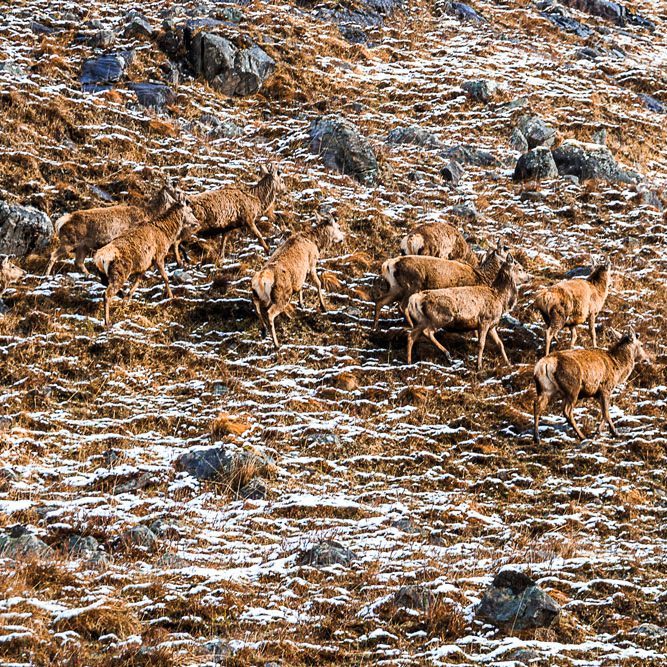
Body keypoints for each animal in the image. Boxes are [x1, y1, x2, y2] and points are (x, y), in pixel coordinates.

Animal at [45, 185, 181, 276]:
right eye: (177, 191)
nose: (182, 203)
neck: (149, 214)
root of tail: (60, 222)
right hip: (69, 242)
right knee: (53, 255)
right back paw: (46, 275)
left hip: (83, 246)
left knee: (78, 262)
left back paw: (89, 275)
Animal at [93, 196, 199, 326]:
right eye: (190, 211)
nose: (197, 222)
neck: (167, 233)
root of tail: (99, 258)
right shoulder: (159, 255)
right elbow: (165, 277)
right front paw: (171, 296)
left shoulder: (144, 265)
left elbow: (138, 281)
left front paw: (126, 299)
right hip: (119, 272)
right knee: (107, 294)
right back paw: (107, 321)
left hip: (104, 273)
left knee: (105, 284)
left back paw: (121, 296)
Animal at [251, 216, 345, 349]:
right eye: (338, 227)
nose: (342, 238)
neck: (316, 242)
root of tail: (261, 280)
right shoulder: (311, 263)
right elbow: (318, 283)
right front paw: (323, 307)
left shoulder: (300, 274)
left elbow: (301, 286)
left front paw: (302, 303)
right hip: (282, 295)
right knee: (270, 313)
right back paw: (276, 344)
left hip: (256, 294)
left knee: (256, 308)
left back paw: (263, 331)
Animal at [373, 240, 518, 329]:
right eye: (506, 250)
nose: (516, 263)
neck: (482, 276)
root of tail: (389, 265)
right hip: (412, 285)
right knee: (402, 306)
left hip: (396, 287)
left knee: (380, 301)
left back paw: (375, 326)